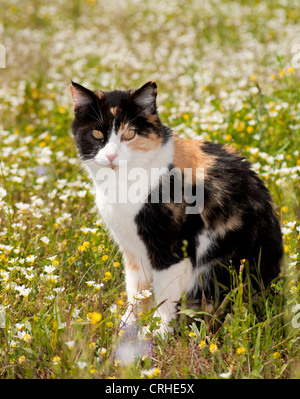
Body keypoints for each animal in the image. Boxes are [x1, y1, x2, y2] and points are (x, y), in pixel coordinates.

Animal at [69, 81, 282, 338]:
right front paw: (126, 327)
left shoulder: (172, 250)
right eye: (97, 134)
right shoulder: (132, 250)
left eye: (129, 134)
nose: (111, 156)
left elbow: (165, 297)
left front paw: (156, 335)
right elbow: (137, 291)